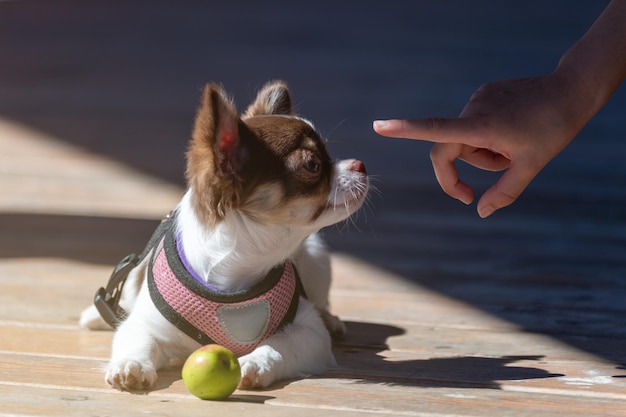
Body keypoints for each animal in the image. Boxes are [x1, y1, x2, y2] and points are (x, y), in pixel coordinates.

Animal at [80, 80, 368, 390]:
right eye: (313, 165)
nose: (360, 165)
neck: (233, 278)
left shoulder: (310, 333)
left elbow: (280, 345)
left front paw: (255, 363)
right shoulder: (145, 325)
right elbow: (135, 338)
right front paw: (130, 365)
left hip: (316, 258)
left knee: (321, 302)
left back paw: (331, 319)